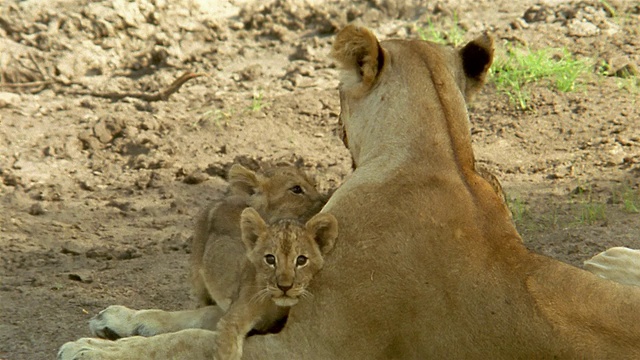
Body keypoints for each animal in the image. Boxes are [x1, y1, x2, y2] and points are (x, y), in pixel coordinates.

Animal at [58, 26, 640, 360]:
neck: (442, 154)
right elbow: (192, 320)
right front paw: (117, 320)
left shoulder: (309, 350)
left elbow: (192, 342)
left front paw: (90, 350)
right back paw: (612, 259)